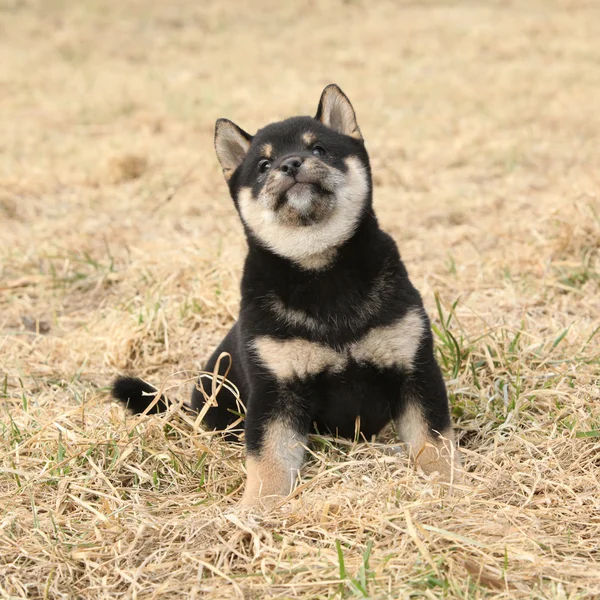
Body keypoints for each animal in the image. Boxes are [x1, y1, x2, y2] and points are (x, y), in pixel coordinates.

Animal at [112, 84, 460, 506]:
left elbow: (434, 441)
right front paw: (254, 510)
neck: (320, 273)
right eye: (263, 165)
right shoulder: (275, 391)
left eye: (320, 149)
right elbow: (268, 462)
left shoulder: (414, 368)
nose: (291, 164)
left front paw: (449, 486)